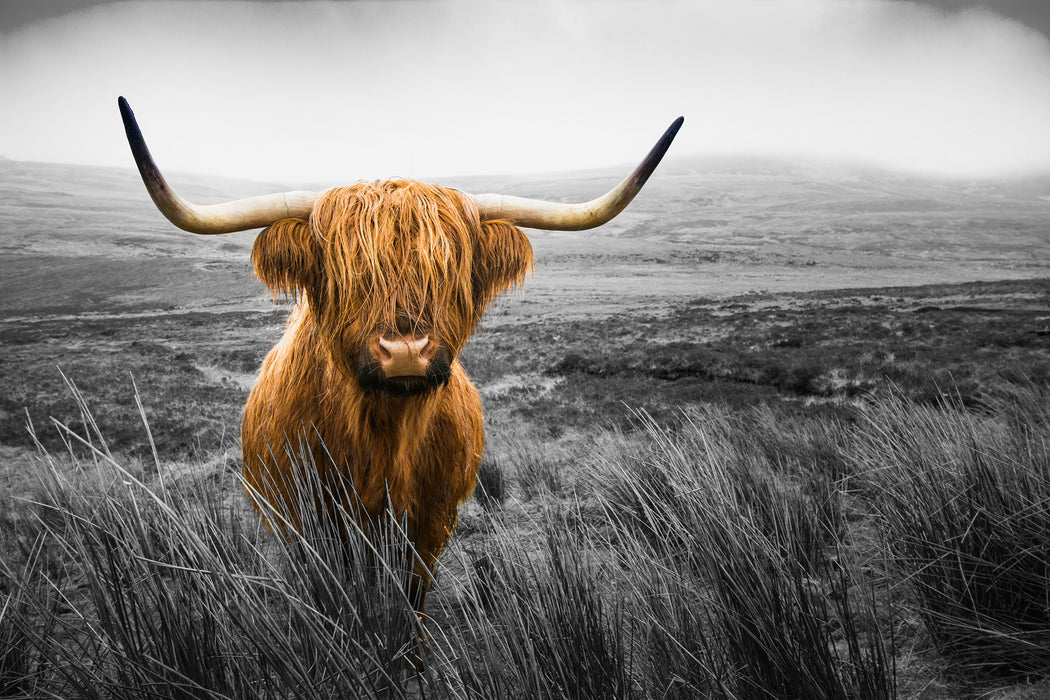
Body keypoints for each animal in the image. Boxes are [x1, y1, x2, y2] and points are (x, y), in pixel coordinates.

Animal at [119, 96, 684, 608]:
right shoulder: (310, 524)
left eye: (448, 268)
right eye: (346, 273)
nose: (406, 350)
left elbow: (410, 602)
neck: (384, 440)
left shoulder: (431, 525)